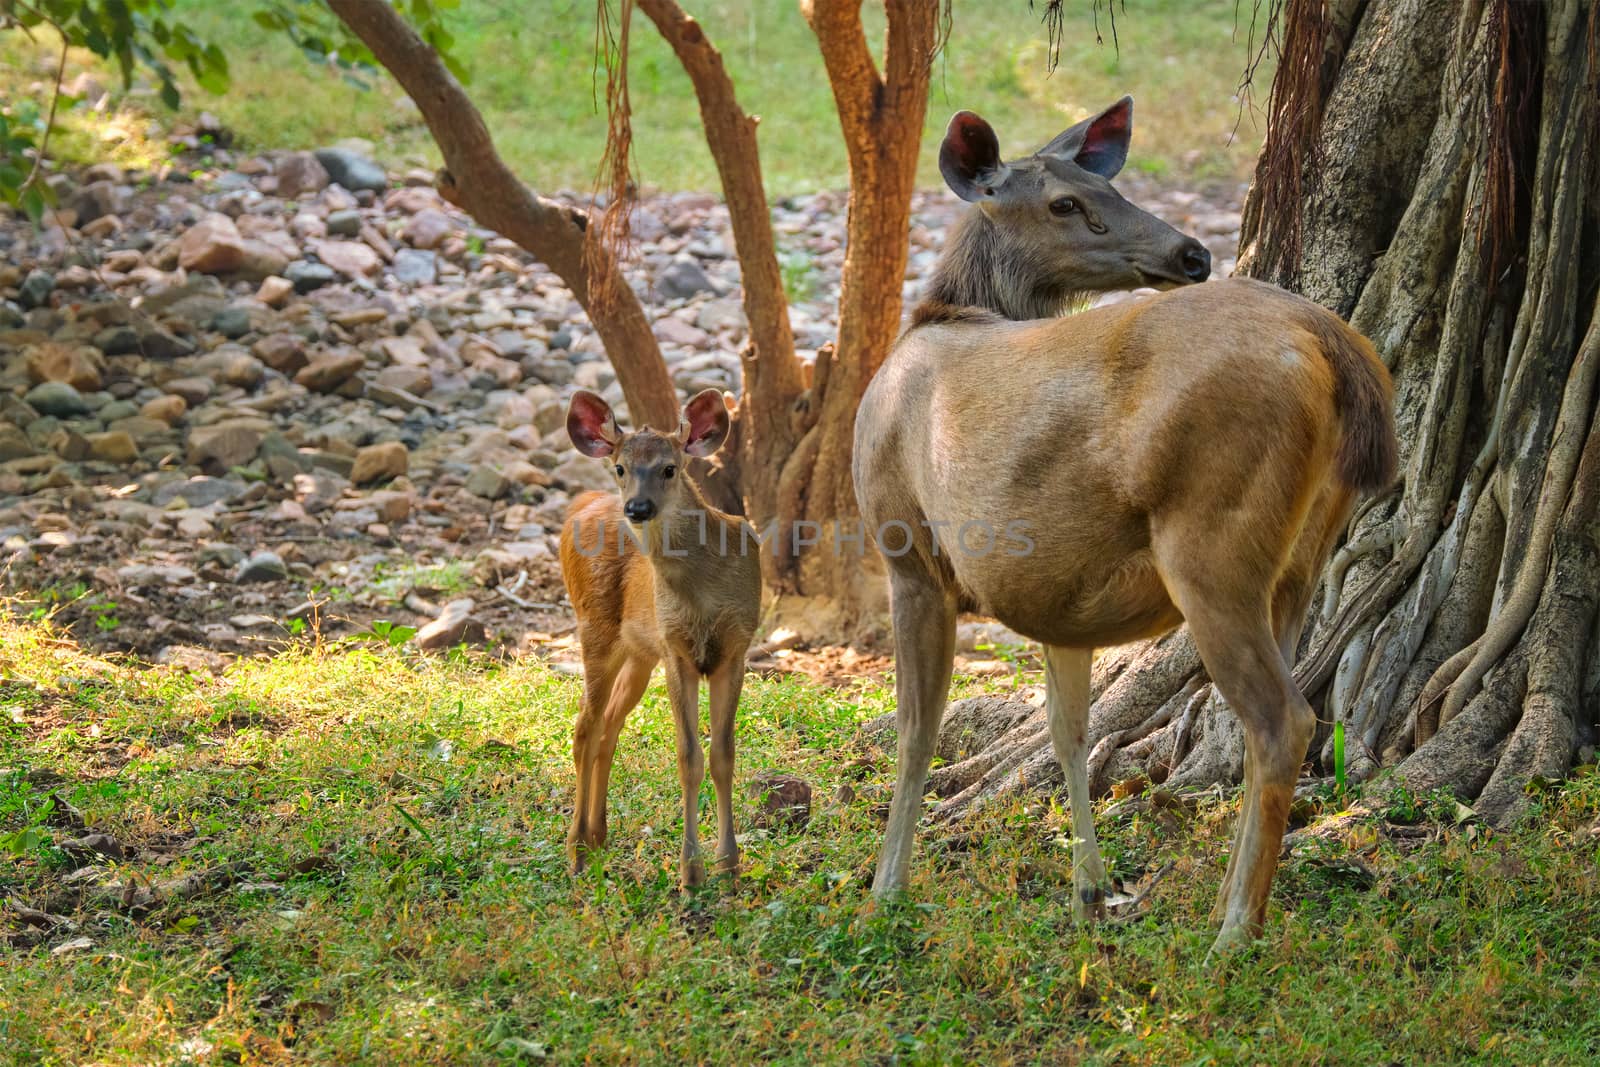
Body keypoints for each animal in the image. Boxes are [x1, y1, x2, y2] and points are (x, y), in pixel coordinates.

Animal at [563, 388, 761, 889]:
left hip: (638, 652)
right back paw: (576, 850)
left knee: (609, 724)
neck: (703, 591)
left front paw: (729, 865)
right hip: (594, 627)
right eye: (620, 467)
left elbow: (724, 755)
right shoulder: (677, 650)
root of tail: (577, 507)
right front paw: (690, 871)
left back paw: (598, 836)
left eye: (670, 468)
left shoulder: (736, 648)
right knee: (584, 726)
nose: (637, 508)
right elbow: (688, 757)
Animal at [857, 97, 1395, 953]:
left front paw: (885, 892)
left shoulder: (907, 550)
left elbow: (916, 730)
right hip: (1301, 557)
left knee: (1283, 719)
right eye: (1064, 202)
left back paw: (1233, 934)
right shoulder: (1057, 600)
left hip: (1209, 543)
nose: (1191, 251)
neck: (945, 318)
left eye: (1101, 188)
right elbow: (1068, 733)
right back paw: (1229, 902)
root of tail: (1337, 348)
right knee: (1266, 717)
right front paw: (1089, 890)